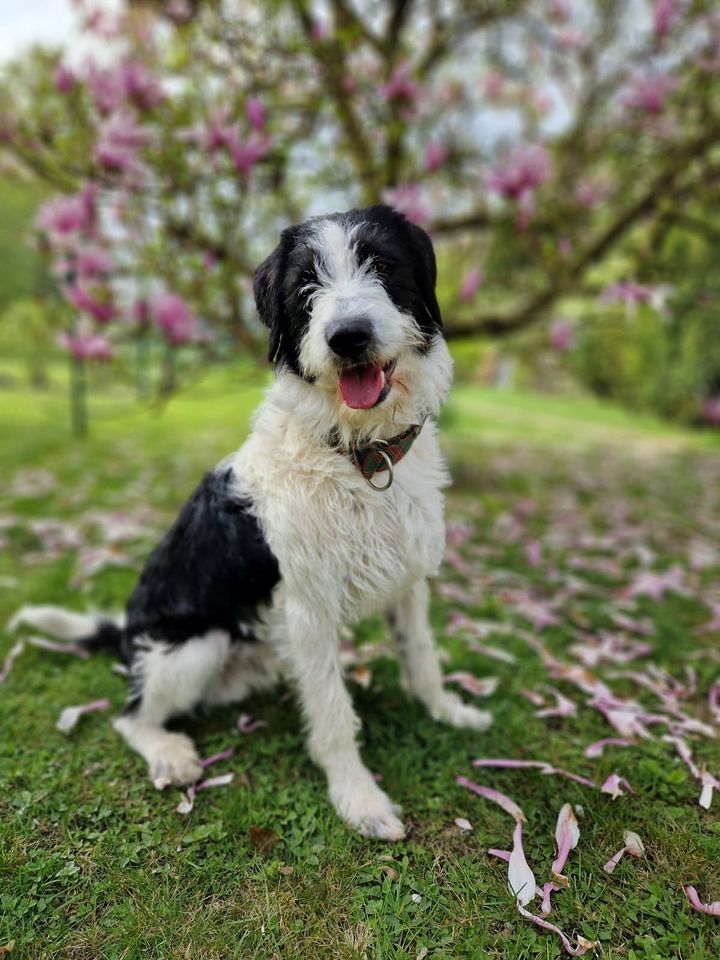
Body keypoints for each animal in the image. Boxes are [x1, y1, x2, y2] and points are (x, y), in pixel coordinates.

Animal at [14, 204, 492, 840]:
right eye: (305, 285)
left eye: (382, 263)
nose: (348, 337)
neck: (357, 455)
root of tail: (126, 631)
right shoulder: (307, 610)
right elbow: (333, 714)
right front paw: (359, 800)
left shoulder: (409, 582)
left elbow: (422, 657)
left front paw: (447, 711)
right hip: (198, 644)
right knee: (130, 715)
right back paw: (169, 752)